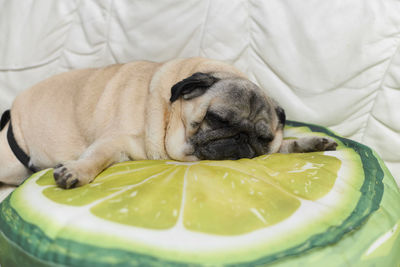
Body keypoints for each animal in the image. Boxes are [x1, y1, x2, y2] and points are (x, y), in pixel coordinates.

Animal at [0, 57, 338, 189]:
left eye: (263, 138)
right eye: (217, 119)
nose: (242, 138)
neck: (165, 114)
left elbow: (286, 145)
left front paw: (311, 142)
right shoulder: (114, 142)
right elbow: (95, 157)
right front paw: (77, 171)